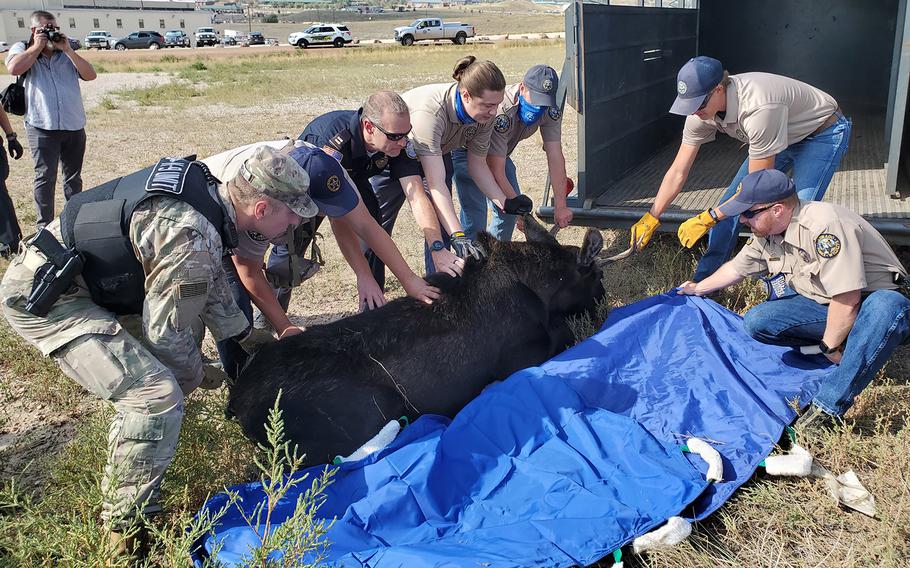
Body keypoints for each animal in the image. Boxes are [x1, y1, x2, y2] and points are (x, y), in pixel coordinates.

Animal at [228, 215, 604, 464]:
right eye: (597, 275)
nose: (602, 298)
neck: (542, 289)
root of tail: (236, 404)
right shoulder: (523, 357)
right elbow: (565, 333)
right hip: (375, 410)